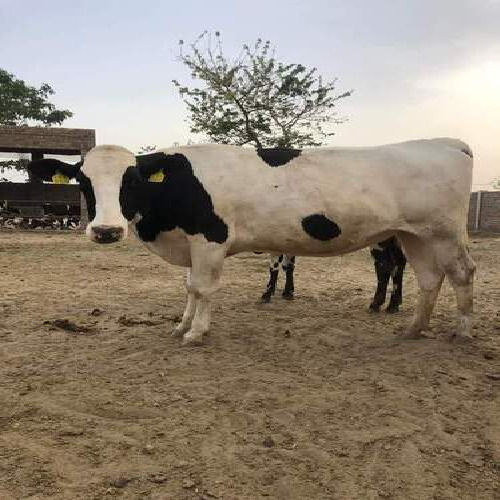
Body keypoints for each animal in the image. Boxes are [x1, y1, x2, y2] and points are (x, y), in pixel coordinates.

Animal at [28, 139, 476, 346]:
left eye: (133, 180)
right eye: (83, 180)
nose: (106, 230)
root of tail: (446, 142)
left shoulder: (210, 240)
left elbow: (202, 288)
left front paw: (197, 332)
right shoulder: (192, 244)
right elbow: (188, 287)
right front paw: (182, 323)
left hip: (444, 233)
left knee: (462, 273)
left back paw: (462, 332)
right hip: (413, 236)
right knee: (429, 279)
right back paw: (413, 329)